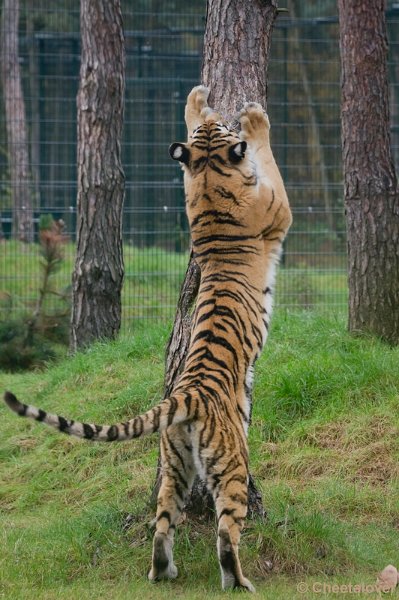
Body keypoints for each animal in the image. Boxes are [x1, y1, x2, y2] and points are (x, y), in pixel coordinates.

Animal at [2, 85, 290, 596]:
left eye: (212, 126)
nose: (222, 112)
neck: (210, 179)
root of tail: (187, 395)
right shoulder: (278, 207)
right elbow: (268, 156)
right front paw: (255, 119)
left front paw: (195, 99)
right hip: (232, 466)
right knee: (225, 533)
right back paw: (238, 580)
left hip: (173, 466)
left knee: (162, 523)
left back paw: (162, 571)